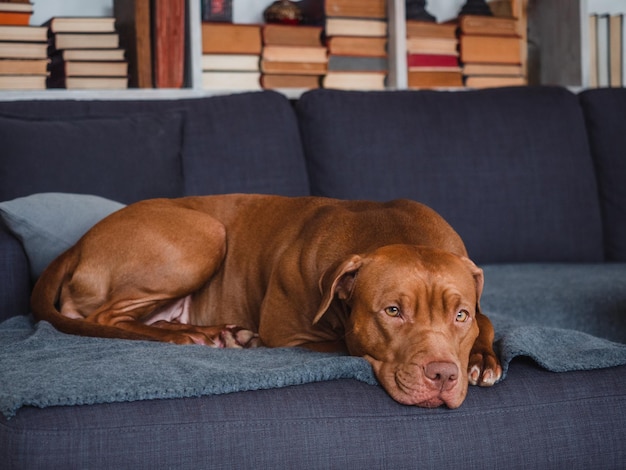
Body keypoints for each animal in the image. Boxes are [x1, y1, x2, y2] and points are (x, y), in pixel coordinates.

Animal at [31, 195, 502, 408]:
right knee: (105, 317)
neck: (388, 228)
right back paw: (193, 337)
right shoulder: (288, 334)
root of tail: (80, 241)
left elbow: (489, 321)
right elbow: (341, 344)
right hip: (204, 234)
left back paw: (210, 332)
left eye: (459, 316)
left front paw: (482, 360)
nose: (443, 375)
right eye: (392, 311)